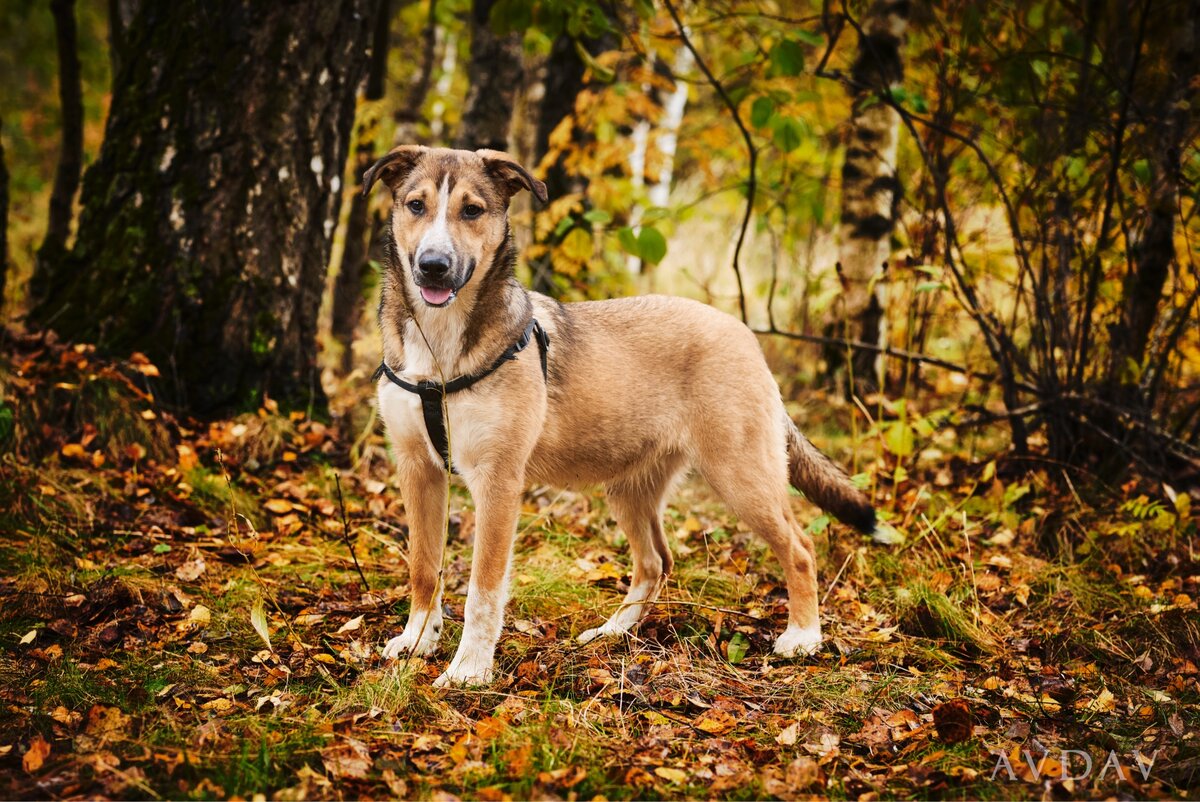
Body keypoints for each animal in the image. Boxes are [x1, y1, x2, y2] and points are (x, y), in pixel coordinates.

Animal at [360, 147, 878, 686]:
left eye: (472, 210)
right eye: (416, 205)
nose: (433, 267)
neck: (440, 346)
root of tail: (743, 333)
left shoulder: (498, 481)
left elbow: (483, 587)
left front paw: (469, 669)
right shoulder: (418, 468)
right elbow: (424, 567)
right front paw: (418, 640)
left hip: (741, 475)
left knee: (799, 548)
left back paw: (803, 637)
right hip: (629, 487)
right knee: (655, 562)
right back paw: (613, 632)